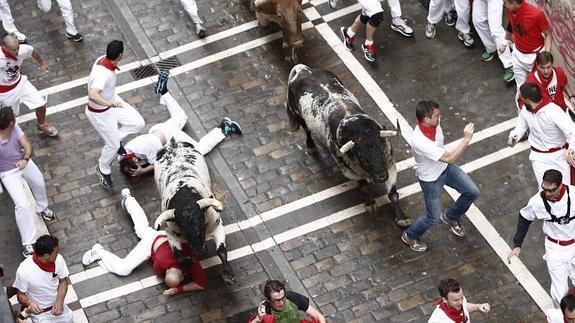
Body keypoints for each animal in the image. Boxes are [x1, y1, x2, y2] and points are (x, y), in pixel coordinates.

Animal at [154, 138, 235, 284]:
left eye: (201, 224)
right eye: (183, 228)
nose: (200, 251)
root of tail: (173, 141)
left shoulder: (217, 226)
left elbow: (221, 250)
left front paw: (228, 274)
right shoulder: (171, 233)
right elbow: (179, 256)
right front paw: (189, 261)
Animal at [286, 64, 412, 228]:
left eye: (380, 149)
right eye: (361, 157)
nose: (381, 176)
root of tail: (302, 69)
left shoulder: (390, 166)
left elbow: (393, 194)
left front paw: (402, 217)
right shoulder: (350, 172)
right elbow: (363, 185)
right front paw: (370, 203)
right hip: (298, 116)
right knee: (307, 131)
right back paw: (311, 147)